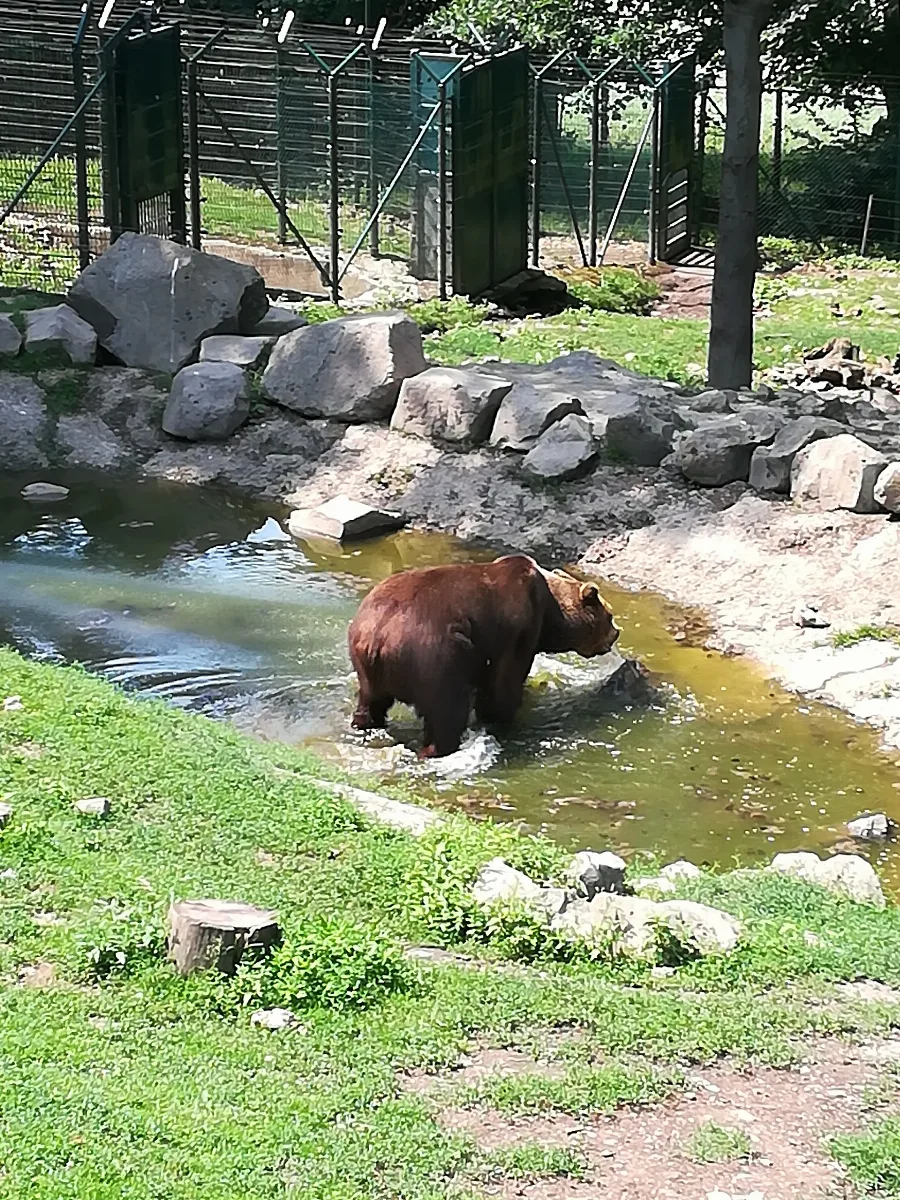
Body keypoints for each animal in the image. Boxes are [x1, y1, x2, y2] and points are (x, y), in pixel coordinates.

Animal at [347, 553, 620, 758]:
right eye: (610, 615)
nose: (616, 633)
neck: (550, 612)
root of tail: (378, 636)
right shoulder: (517, 628)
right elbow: (503, 684)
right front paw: (505, 716)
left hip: (367, 665)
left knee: (371, 702)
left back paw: (365, 724)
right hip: (436, 657)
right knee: (446, 711)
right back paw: (438, 748)